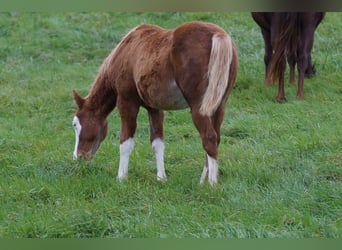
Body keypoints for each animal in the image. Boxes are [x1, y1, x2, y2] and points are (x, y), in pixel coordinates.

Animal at [71, 21, 238, 186]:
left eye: (75, 125)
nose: (77, 157)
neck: (126, 51)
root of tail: (218, 35)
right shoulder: (155, 108)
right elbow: (157, 143)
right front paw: (161, 178)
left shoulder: (127, 102)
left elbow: (126, 142)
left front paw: (121, 178)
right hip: (219, 106)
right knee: (216, 137)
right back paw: (203, 180)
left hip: (199, 108)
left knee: (209, 138)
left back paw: (212, 184)